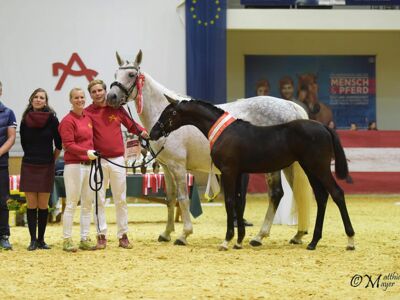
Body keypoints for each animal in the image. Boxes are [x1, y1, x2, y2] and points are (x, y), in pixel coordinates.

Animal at [108, 49, 314, 246]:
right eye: (116, 73)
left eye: (131, 75)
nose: (111, 96)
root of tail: (290, 106)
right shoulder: (166, 167)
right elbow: (170, 198)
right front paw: (166, 233)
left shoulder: (178, 166)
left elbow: (183, 198)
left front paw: (184, 234)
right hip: (288, 165)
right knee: (297, 194)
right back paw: (297, 235)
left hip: (272, 166)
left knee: (276, 194)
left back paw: (260, 236)